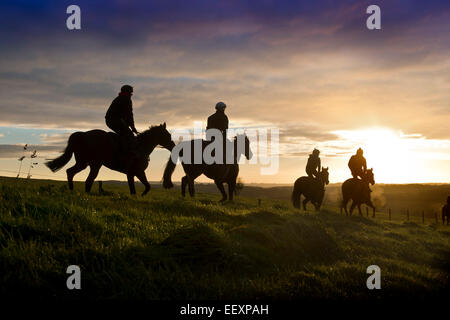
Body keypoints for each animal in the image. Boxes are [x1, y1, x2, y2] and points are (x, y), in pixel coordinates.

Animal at [44, 124, 174, 196]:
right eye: (167, 135)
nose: (173, 146)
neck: (140, 147)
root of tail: (82, 135)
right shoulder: (133, 173)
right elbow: (135, 189)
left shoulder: (138, 173)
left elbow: (147, 186)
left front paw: (142, 195)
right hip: (92, 164)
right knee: (85, 179)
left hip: (85, 164)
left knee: (72, 173)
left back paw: (73, 191)